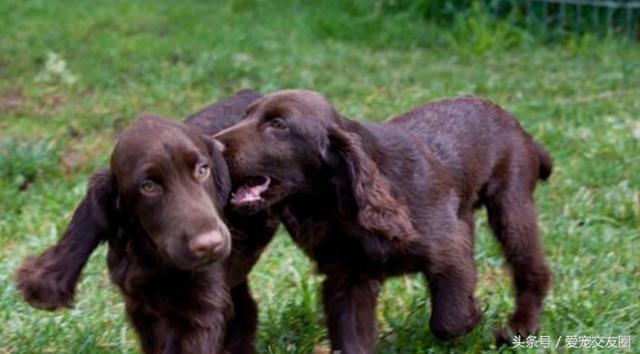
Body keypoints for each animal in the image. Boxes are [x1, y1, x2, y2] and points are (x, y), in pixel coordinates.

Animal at [216, 90, 556, 352]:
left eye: (278, 125)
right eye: (245, 115)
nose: (215, 145)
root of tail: (517, 125)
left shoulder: (447, 246)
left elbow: (448, 321)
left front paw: (473, 316)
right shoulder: (348, 278)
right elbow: (351, 338)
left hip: (511, 204)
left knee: (532, 270)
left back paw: (520, 328)